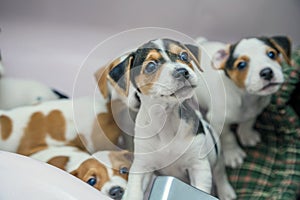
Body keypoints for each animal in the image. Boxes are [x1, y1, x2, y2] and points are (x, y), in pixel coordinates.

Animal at [103, 38, 237, 200]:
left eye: (184, 56)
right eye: (151, 66)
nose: (182, 71)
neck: (166, 118)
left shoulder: (198, 166)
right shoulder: (142, 167)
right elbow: (134, 191)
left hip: (216, 152)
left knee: (219, 172)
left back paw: (226, 191)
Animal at [196, 36, 292, 169]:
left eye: (271, 54)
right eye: (241, 64)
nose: (267, 72)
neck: (245, 97)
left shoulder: (255, 111)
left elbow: (248, 123)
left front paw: (246, 135)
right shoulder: (217, 121)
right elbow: (228, 137)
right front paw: (233, 154)